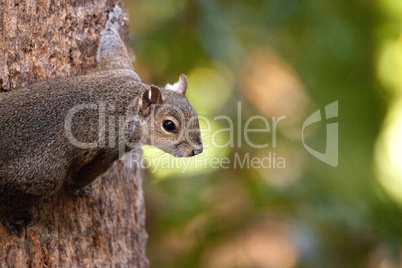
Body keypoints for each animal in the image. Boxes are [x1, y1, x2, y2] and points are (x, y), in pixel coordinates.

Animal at [0, 5, 203, 233]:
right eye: (169, 125)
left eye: (195, 116)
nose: (197, 150)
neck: (129, 99)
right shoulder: (112, 146)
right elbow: (90, 172)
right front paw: (76, 187)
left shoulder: (118, 67)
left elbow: (110, 45)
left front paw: (113, 19)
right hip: (42, 174)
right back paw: (15, 216)